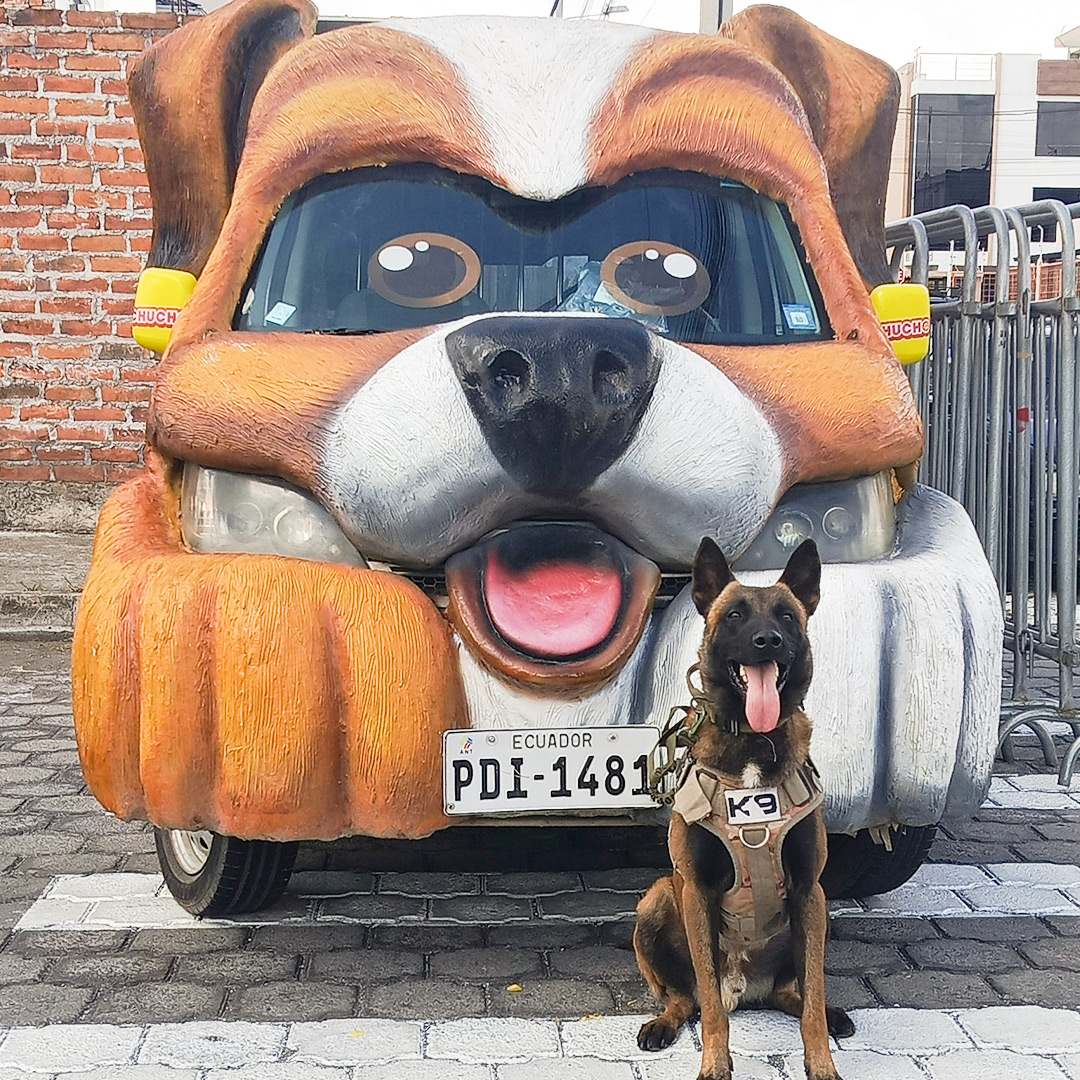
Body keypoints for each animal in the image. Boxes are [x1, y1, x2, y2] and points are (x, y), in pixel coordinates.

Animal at [635, 537, 853, 1080]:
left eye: (788, 617)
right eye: (735, 615)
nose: (767, 640)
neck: (754, 741)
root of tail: (748, 992)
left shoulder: (810, 890)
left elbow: (813, 1001)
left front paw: (822, 1064)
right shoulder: (696, 891)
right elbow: (711, 1007)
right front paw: (715, 1063)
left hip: (816, 917)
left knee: (795, 993)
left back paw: (827, 1011)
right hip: (655, 901)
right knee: (686, 998)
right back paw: (664, 1023)